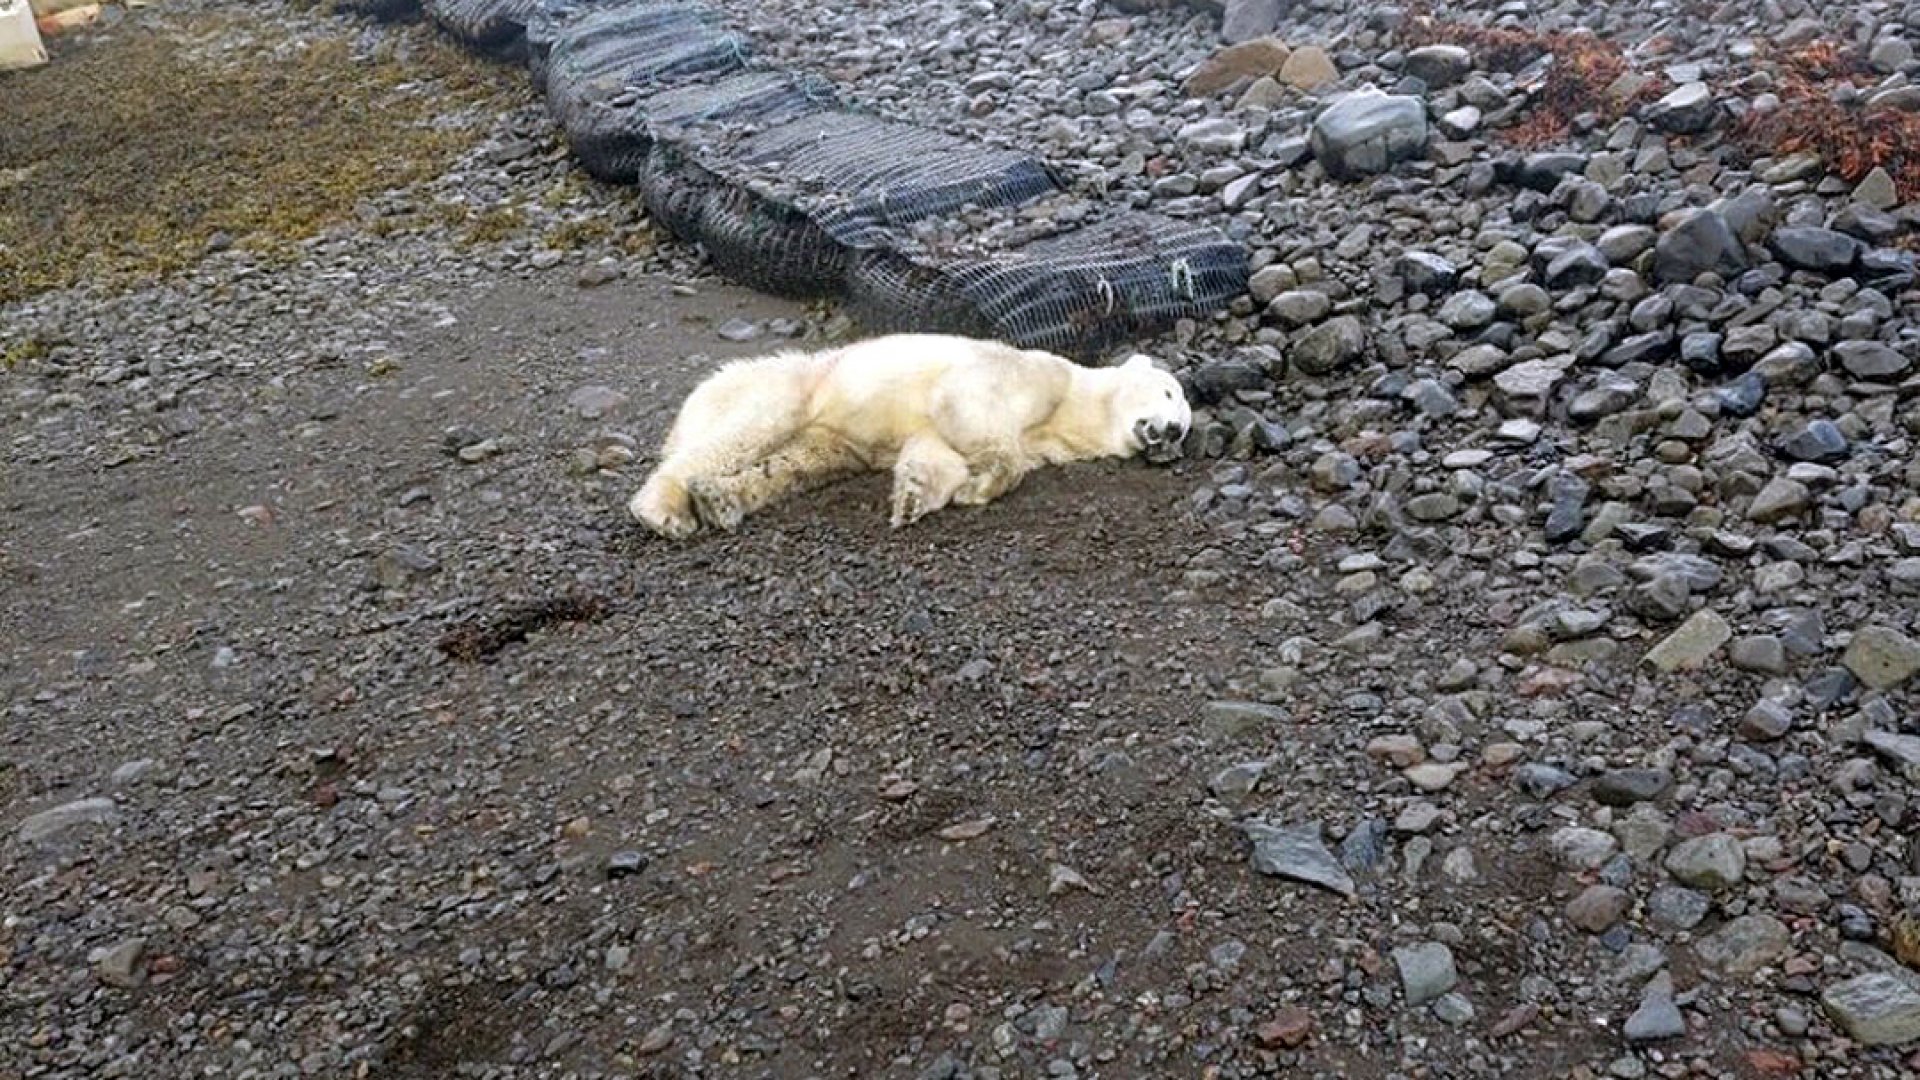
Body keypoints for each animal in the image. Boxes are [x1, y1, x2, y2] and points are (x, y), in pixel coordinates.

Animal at [628, 333, 1192, 538]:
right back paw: (664, 511)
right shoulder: (1033, 373)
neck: (1075, 406)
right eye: (1169, 393)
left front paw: (916, 497)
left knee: (797, 464)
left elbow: (936, 450)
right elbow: (967, 405)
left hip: (826, 437)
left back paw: (720, 501)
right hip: (789, 386)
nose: (1170, 431)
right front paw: (982, 483)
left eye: (1185, 427)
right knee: (746, 432)